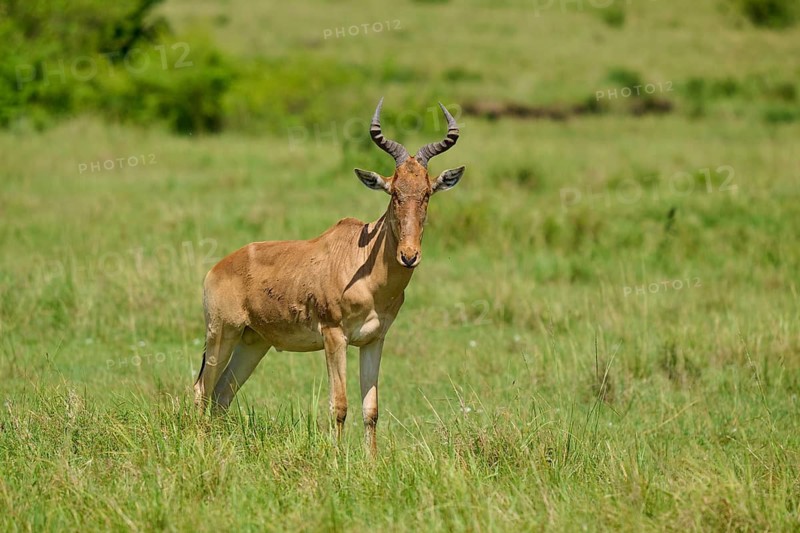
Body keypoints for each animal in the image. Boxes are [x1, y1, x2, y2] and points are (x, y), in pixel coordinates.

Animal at [193, 99, 465, 454]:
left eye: (427, 193)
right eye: (393, 192)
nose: (409, 256)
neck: (363, 261)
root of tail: (218, 268)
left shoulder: (374, 340)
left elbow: (371, 409)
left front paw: (371, 460)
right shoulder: (334, 336)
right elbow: (340, 405)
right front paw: (336, 459)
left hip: (253, 342)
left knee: (222, 394)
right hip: (221, 333)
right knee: (202, 390)